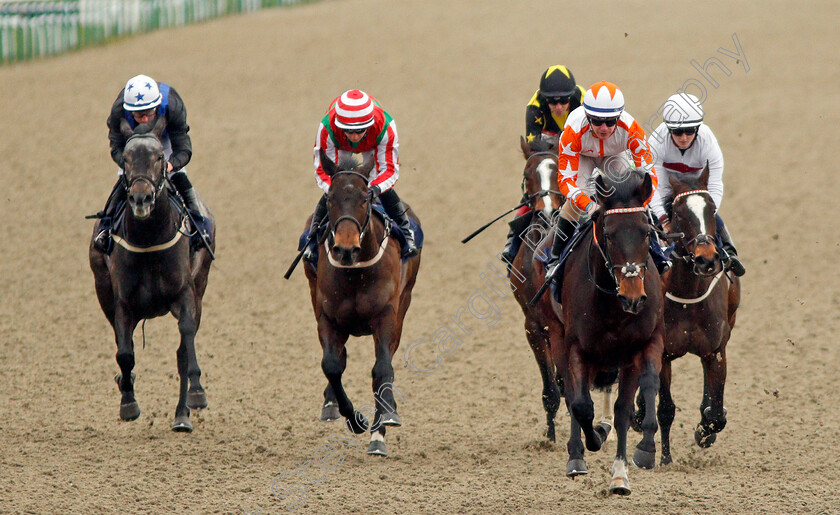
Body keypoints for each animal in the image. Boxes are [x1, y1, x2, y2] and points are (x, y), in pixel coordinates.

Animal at [86, 116, 213, 432]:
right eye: (127, 159)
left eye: (158, 158)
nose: (141, 198)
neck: (148, 239)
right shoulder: (122, 302)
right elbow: (124, 353)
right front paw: (128, 401)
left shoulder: (185, 295)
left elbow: (186, 345)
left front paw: (196, 394)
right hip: (102, 289)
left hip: (201, 286)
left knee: (182, 353)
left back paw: (182, 414)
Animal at [302, 149, 420, 456]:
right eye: (330, 198)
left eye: (365, 198)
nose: (345, 249)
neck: (355, 273)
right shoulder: (327, 318)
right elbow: (331, 365)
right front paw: (355, 420)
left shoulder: (387, 316)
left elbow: (382, 369)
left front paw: (381, 428)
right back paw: (330, 404)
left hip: (404, 304)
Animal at [506, 138, 616, 444]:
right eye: (527, 175)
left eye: (558, 173)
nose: (545, 212)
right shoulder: (533, 326)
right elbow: (553, 388)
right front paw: (551, 436)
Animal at [552, 169, 664, 496]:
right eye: (609, 232)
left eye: (646, 232)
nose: (633, 296)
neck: (613, 304)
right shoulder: (576, 347)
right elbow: (580, 404)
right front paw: (592, 439)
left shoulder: (644, 344)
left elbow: (635, 399)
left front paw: (638, 457)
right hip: (556, 337)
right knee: (572, 395)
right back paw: (577, 456)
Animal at [632, 167, 744, 466]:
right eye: (680, 213)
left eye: (711, 208)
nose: (707, 260)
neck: (689, 295)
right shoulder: (663, 355)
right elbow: (665, 409)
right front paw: (664, 458)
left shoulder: (715, 350)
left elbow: (714, 412)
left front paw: (705, 432)